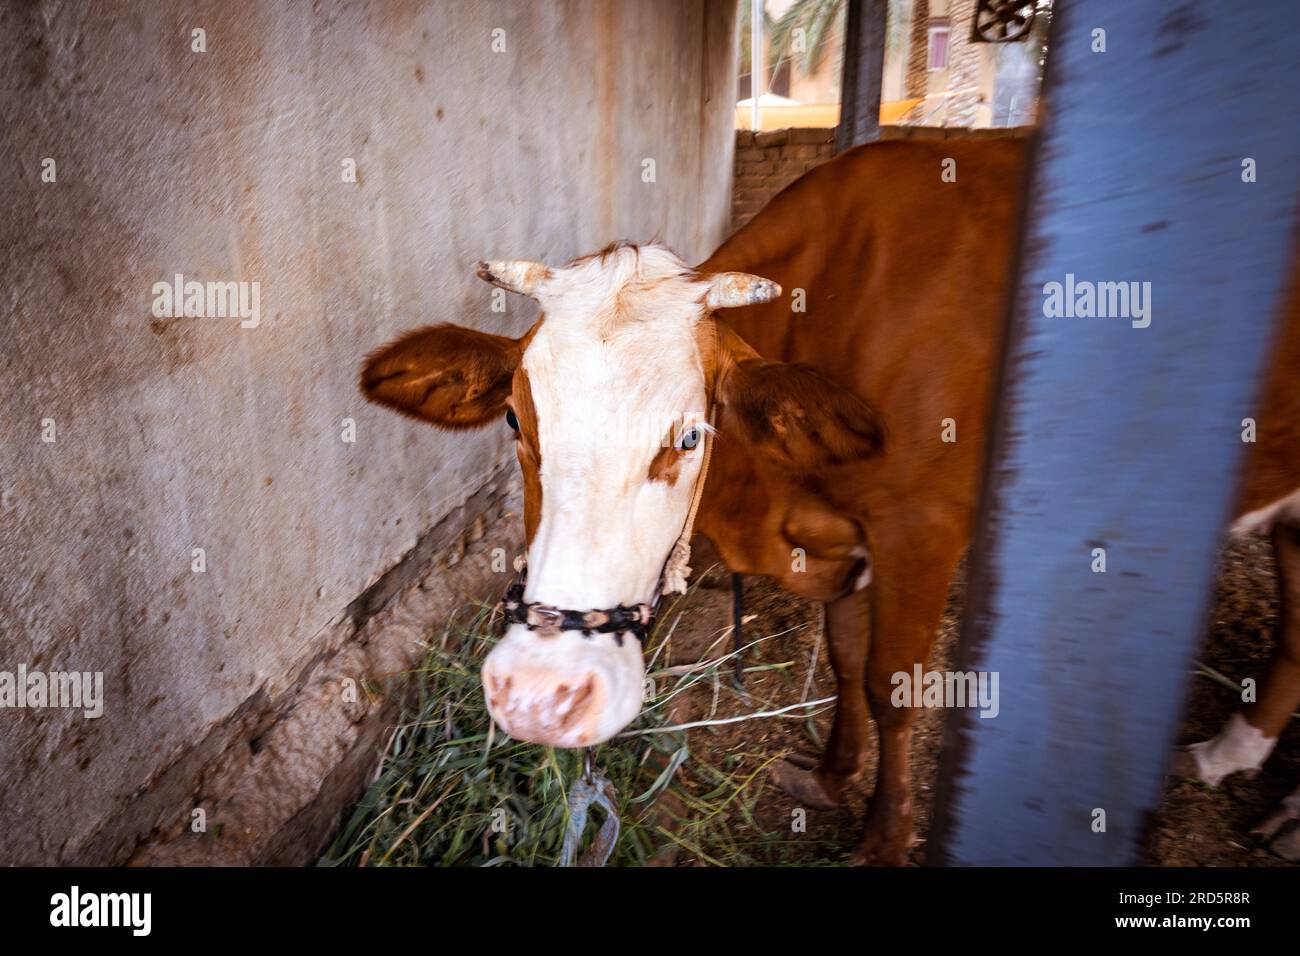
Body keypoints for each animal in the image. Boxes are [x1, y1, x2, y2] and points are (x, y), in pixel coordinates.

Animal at [361, 135, 1300, 864]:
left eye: (690, 436)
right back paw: (1235, 755)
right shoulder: (848, 540)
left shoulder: (922, 529)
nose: (539, 694)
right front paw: (832, 774)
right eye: (515, 418)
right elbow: (847, 657)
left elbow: (893, 682)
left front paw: (883, 839)